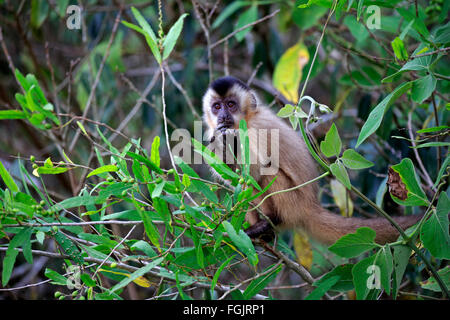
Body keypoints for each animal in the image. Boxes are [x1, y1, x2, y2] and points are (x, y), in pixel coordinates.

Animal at [202, 77, 424, 245]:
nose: (223, 115)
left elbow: (255, 172)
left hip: (294, 204)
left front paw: (230, 140)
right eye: (216, 107)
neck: (245, 120)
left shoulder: (257, 126)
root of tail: (310, 206)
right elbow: (235, 178)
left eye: (231, 104)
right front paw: (221, 141)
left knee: (269, 174)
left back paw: (269, 222)